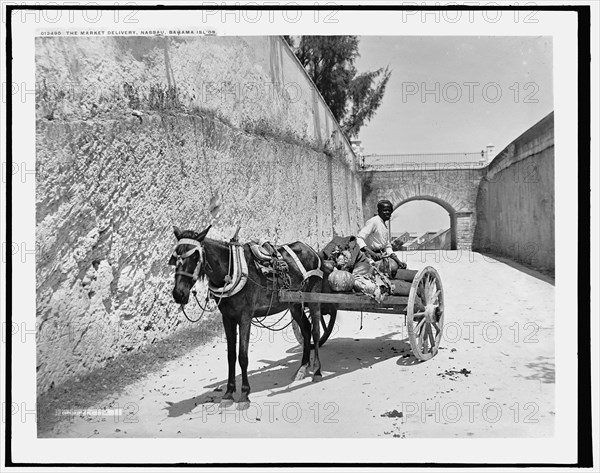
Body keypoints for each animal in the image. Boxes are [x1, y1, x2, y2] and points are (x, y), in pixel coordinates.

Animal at [169, 225, 326, 410]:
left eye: (195, 256)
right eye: (175, 256)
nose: (179, 294)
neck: (231, 270)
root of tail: (310, 249)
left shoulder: (245, 317)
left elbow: (242, 357)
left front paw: (244, 395)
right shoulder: (227, 319)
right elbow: (231, 356)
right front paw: (228, 394)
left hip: (314, 298)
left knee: (316, 332)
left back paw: (317, 372)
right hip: (294, 303)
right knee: (306, 330)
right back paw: (302, 368)